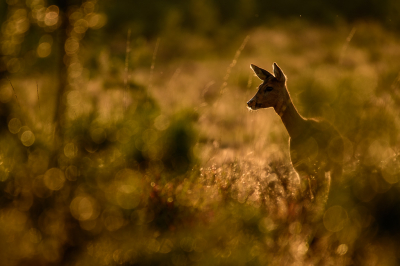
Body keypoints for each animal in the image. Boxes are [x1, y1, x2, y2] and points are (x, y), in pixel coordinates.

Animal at [247, 63, 344, 203]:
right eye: (259, 86)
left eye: (269, 87)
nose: (250, 102)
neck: (299, 131)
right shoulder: (300, 171)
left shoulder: (316, 169)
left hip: (336, 166)